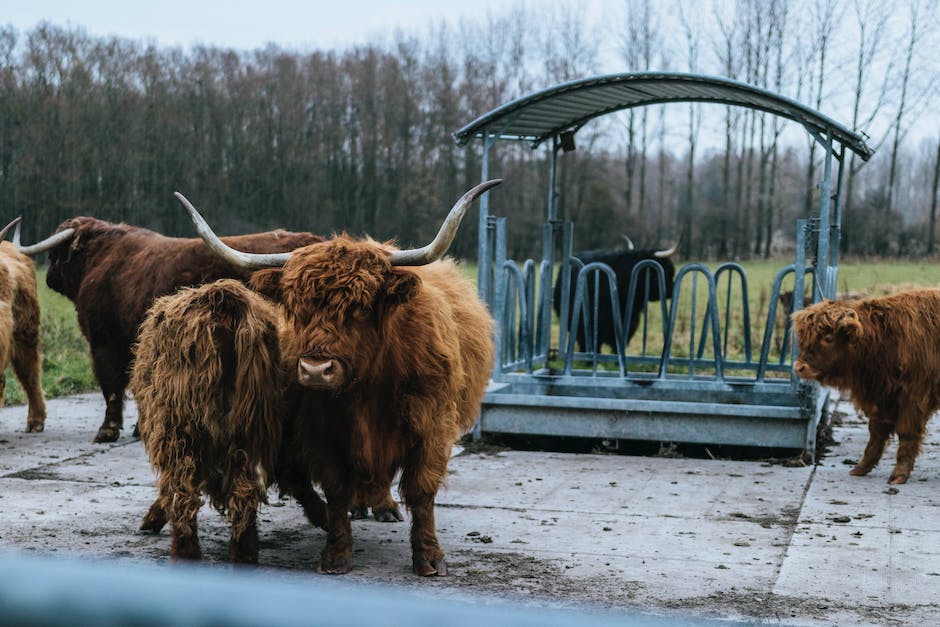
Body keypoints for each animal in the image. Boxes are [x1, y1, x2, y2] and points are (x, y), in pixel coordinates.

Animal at [130, 280, 324, 564]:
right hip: (251, 426)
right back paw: (244, 554)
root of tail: (220, 298)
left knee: (183, 490)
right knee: (245, 488)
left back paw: (185, 552)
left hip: (181, 427)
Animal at [176, 179, 500, 576]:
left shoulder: (432, 424)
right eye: (296, 307)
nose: (316, 370)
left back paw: (384, 507)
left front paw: (428, 556)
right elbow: (336, 489)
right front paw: (337, 552)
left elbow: (422, 490)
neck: (366, 390)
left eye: (360, 306)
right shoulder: (320, 430)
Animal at [788, 290, 940, 486]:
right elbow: (876, 433)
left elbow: (906, 434)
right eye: (804, 339)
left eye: (828, 338)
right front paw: (861, 468)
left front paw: (899, 475)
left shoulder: (913, 397)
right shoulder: (883, 398)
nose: (799, 367)